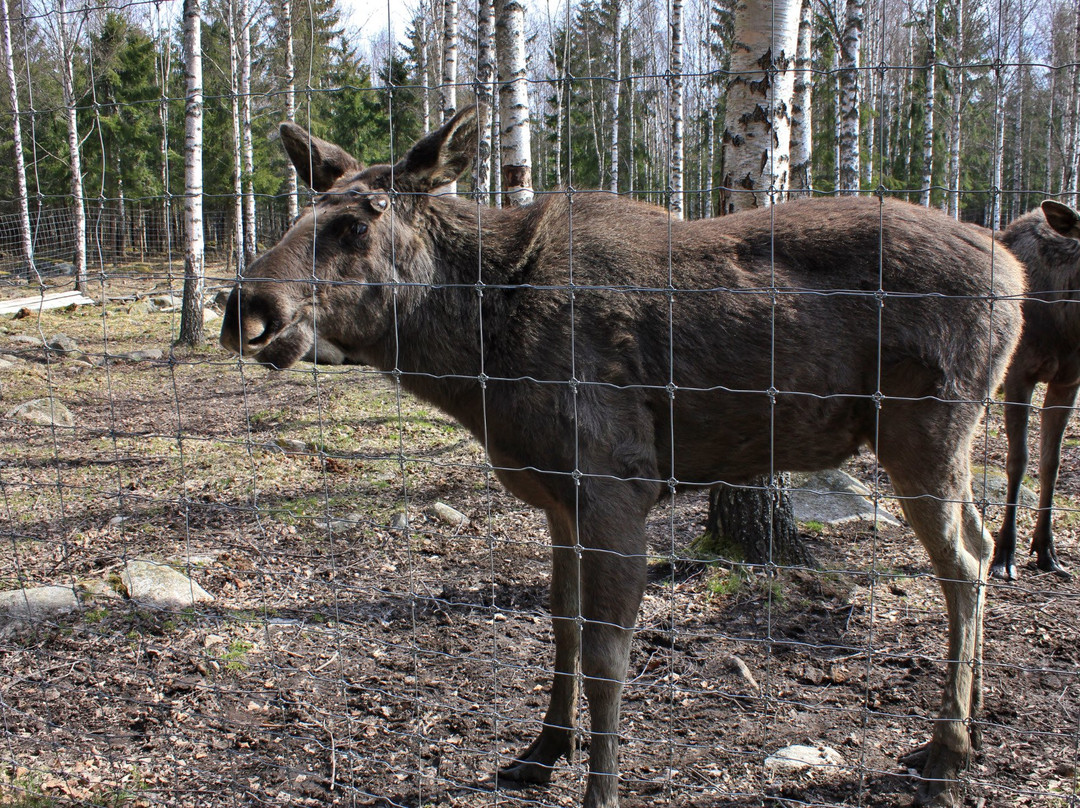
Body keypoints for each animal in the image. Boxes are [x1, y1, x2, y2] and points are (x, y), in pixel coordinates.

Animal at [217, 109, 1019, 808]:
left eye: (357, 222)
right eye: (302, 212)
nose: (244, 311)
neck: (477, 360)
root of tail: (1016, 275)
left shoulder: (614, 487)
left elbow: (608, 656)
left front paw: (598, 788)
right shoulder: (558, 499)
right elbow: (562, 624)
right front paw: (543, 748)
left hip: (924, 432)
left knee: (962, 565)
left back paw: (947, 753)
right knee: (980, 547)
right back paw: (968, 732)